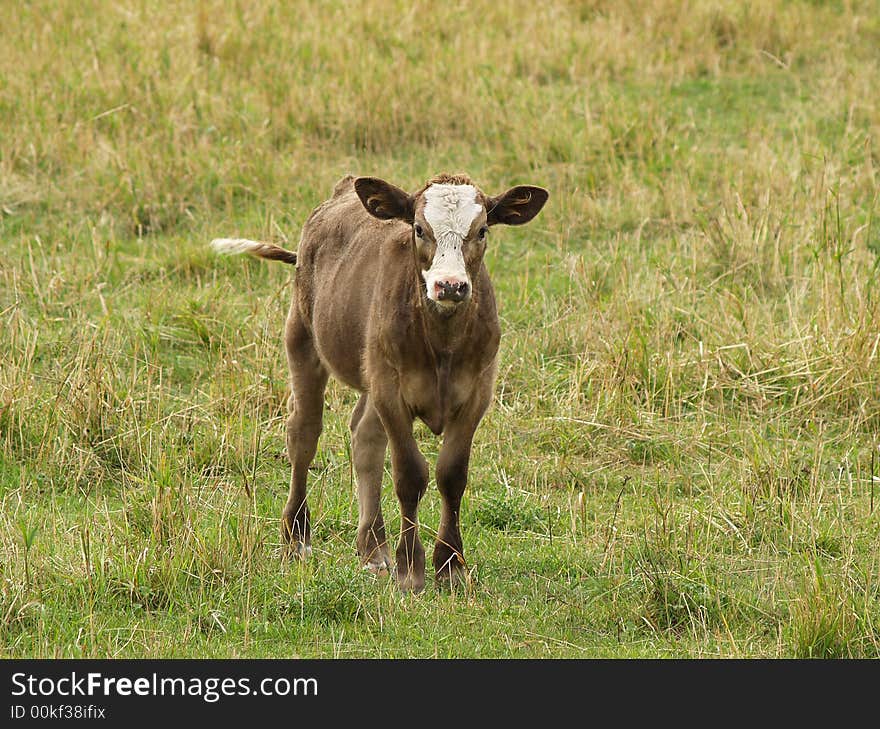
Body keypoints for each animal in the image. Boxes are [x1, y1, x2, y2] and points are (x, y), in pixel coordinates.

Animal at [212, 172, 544, 592]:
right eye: (419, 229)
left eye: (482, 230)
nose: (450, 285)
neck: (442, 343)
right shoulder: (391, 393)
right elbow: (410, 476)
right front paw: (410, 569)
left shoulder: (476, 394)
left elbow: (451, 475)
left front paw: (450, 565)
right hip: (302, 337)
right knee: (304, 434)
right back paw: (297, 537)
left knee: (364, 437)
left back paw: (373, 549)